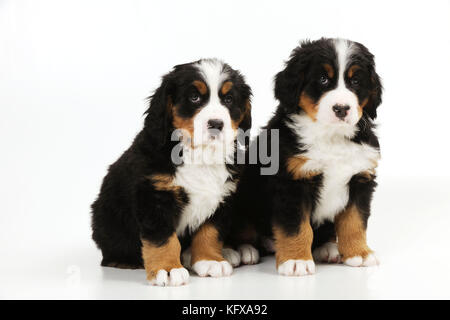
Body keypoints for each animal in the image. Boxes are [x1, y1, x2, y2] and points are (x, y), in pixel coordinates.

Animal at [90, 58, 253, 286]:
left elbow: (210, 232)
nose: (216, 124)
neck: (200, 154)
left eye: (229, 99)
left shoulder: (223, 197)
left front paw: (210, 260)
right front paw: (167, 268)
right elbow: (163, 238)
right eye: (194, 97)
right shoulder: (155, 197)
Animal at [232, 38, 384, 276]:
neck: (331, 137)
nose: (341, 108)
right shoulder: (292, 182)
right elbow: (296, 227)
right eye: (322, 79)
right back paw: (245, 250)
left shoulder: (360, 178)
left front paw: (359, 253)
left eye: (355, 81)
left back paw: (328, 248)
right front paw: (296, 260)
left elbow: (355, 222)